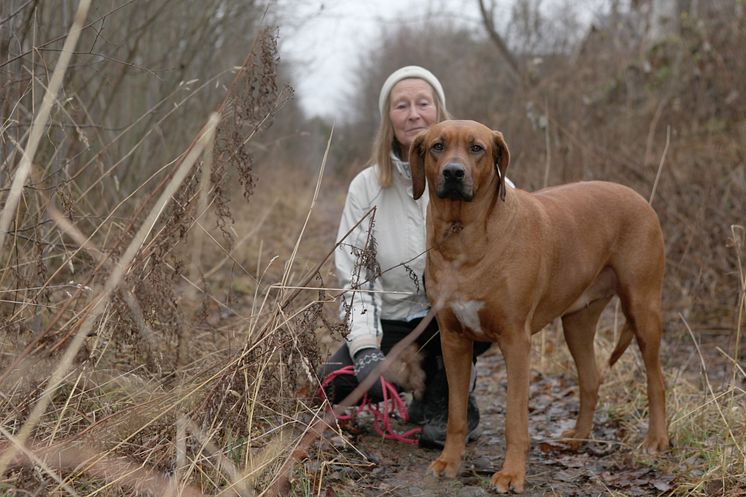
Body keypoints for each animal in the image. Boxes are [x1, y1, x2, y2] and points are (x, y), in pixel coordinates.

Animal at [406, 120, 668, 492]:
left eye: (477, 148)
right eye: (437, 146)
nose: (454, 173)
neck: (463, 235)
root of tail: (639, 197)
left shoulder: (516, 341)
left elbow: (515, 420)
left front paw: (512, 473)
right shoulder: (453, 340)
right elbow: (456, 414)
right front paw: (449, 461)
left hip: (643, 307)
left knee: (656, 379)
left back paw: (656, 440)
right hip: (577, 323)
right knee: (590, 380)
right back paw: (579, 436)